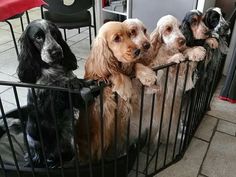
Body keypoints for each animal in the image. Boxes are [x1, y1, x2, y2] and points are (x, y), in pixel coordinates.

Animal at [17, 19, 98, 167]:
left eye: (54, 34)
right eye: (38, 37)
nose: (56, 52)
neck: (53, 69)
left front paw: (88, 82)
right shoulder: (47, 103)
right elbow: (61, 89)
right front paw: (71, 83)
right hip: (35, 142)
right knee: (39, 158)